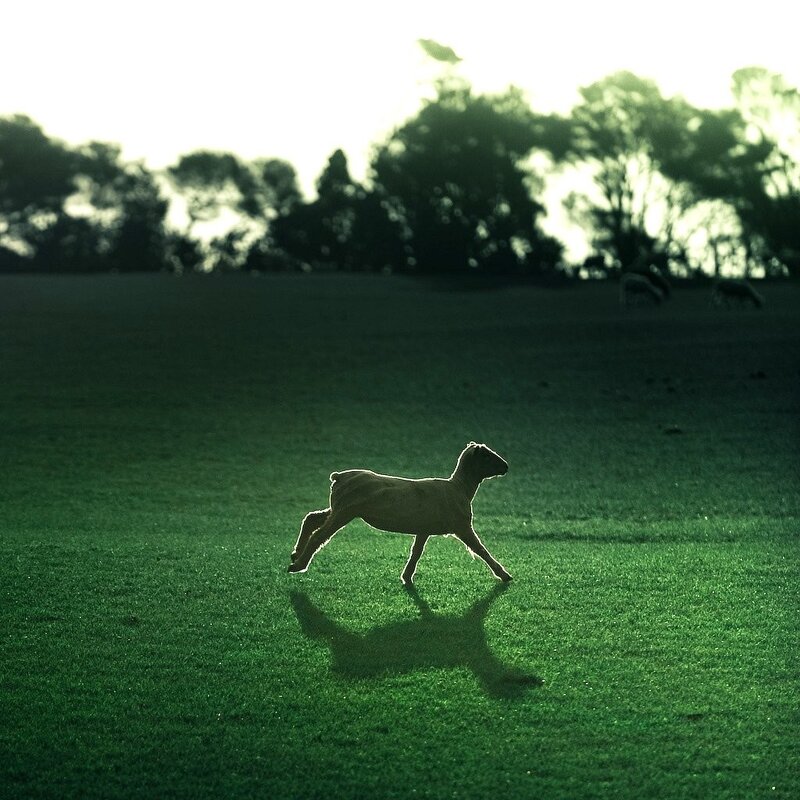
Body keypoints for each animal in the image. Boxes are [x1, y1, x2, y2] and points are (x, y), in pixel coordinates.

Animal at [289, 442, 512, 583]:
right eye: (487, 456)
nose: (506, 467)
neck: (460, 487)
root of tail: (339, 476)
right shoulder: (461, 526)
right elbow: (481, 550)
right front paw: (504, 575)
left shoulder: (424, 528)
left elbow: (416, 552)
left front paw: (406, 577)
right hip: (345, 510)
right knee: (319, 535)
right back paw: (298, 565)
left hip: (338, 508)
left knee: (311, 519)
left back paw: (296, 553)